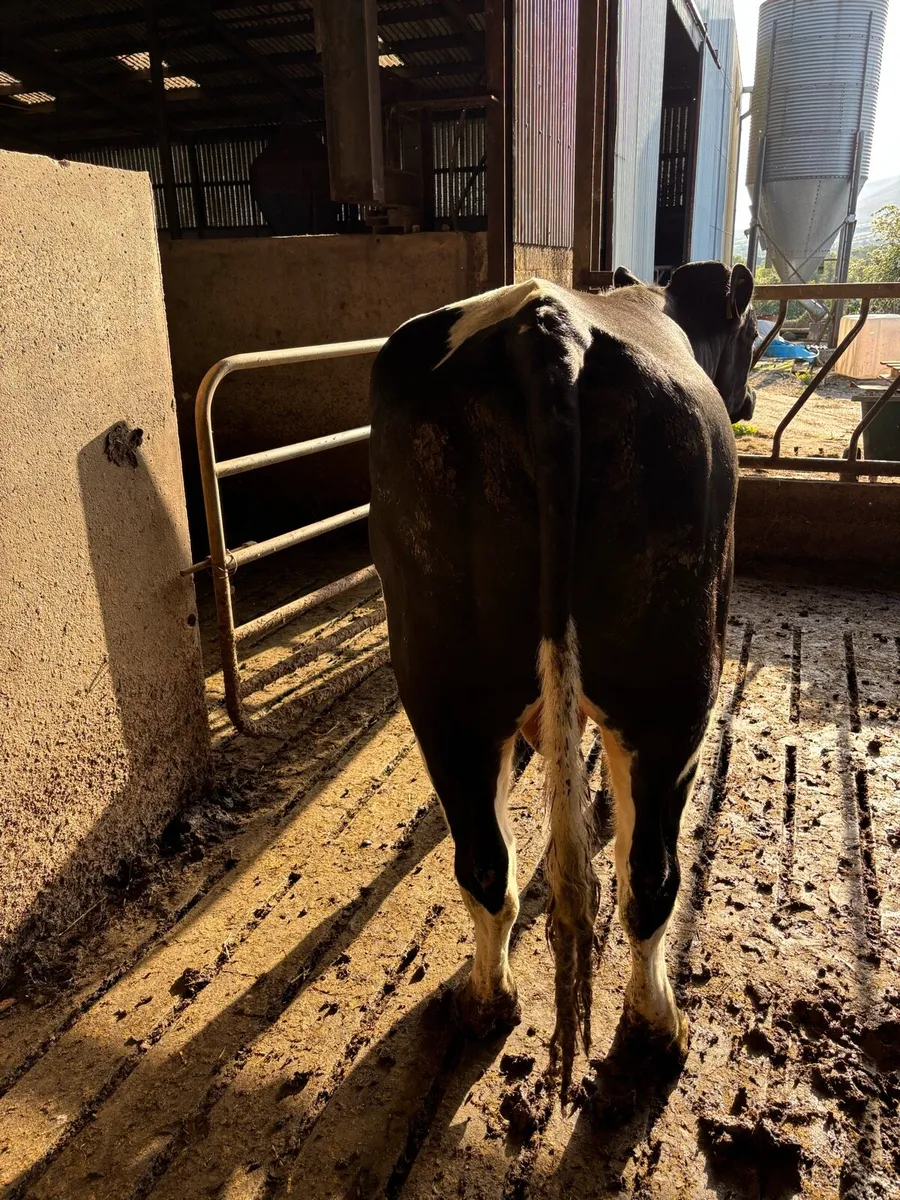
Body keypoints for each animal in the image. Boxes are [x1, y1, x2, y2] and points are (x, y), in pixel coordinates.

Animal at [368, 261, 756, 1098]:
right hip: (674, 693)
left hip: (443, 690)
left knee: (486, 864)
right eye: (746, 336)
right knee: (650, 879)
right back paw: (657, 1030)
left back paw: (485, 1001)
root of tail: (547, 325)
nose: (746, 401)